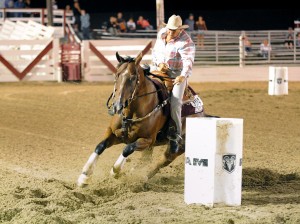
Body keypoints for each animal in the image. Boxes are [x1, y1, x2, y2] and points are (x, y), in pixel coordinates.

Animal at [77, 51, 213, 186]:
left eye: (133, 78)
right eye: (117, 75)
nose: (117, 106)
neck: (132, 112)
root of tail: (202, 114)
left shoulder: (147, 140)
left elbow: (128, 149)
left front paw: (115, 171)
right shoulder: (114, 133)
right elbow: (100, 146)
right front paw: (84, 176)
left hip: (177, 148)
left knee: (162, 161)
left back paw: (142, 178)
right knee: (146, 160)